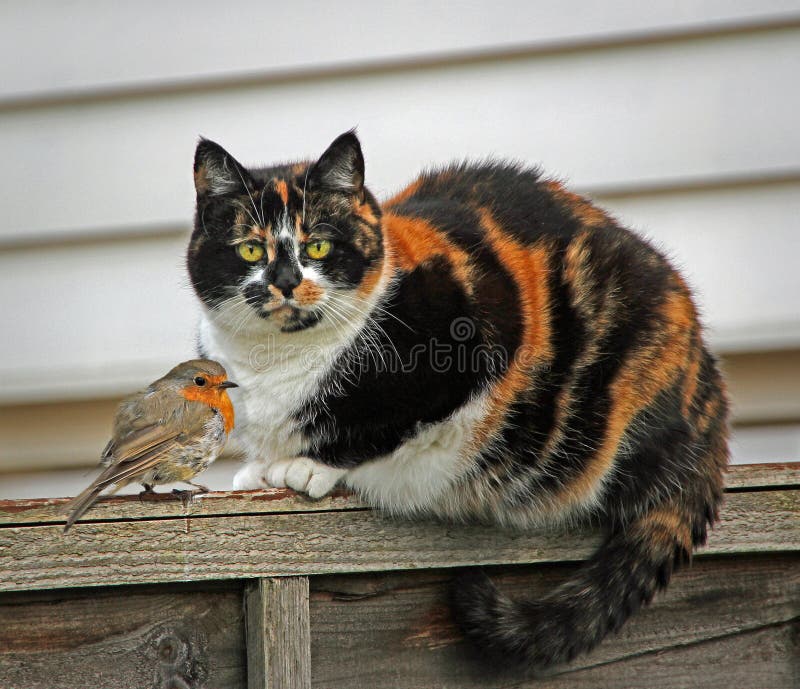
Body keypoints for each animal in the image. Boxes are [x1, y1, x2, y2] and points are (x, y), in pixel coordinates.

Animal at [189, 129, 732, 668]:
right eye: (251, 252)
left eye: (317, 245)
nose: (285, 282)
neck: (275, 360)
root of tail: (709, 399)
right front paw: (261, 468)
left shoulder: (473, 344)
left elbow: (393, 425)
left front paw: (308, 465)